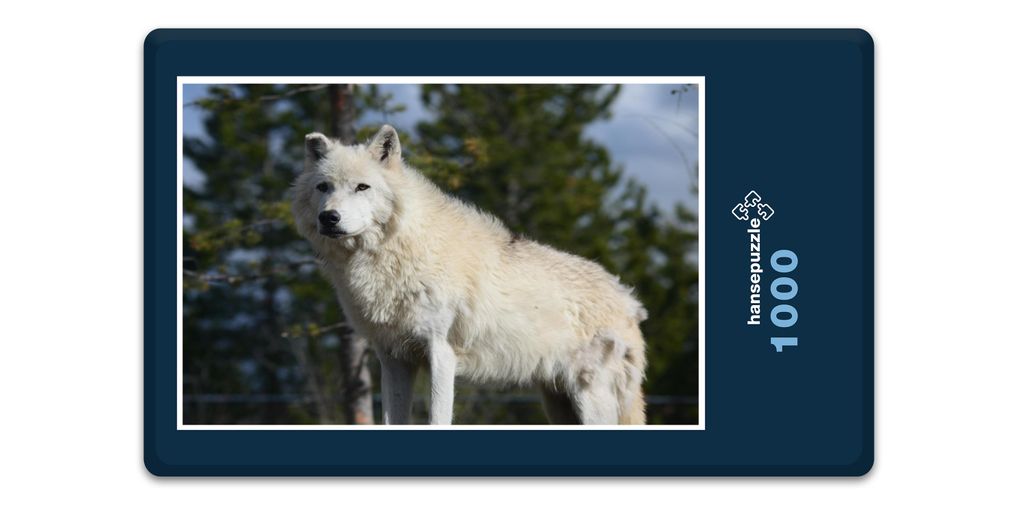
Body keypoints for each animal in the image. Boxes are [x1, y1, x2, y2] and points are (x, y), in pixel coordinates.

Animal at [291, 125, 648, 425]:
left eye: (362, 187)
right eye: (324, 187)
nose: (329, 217)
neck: (397, 250)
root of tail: (628, 300)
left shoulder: (441, 353)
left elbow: (437, 419)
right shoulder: (393, 358)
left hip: (590, 398)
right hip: (558, 402)